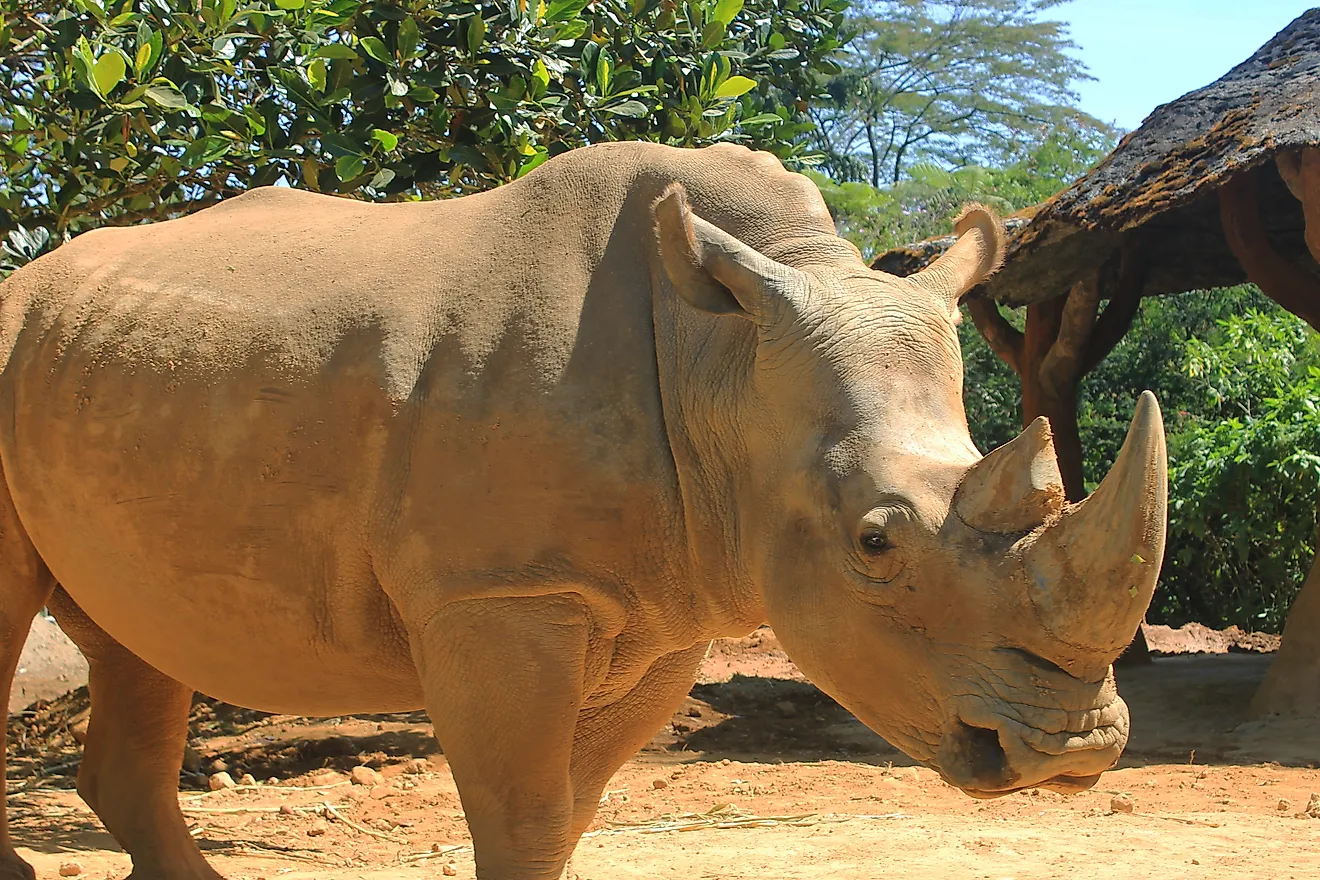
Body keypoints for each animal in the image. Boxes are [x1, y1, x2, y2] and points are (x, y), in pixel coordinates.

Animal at [0, 142, 1165, 880]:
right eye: (875, 542)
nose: (1074, 750)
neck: (723, 364)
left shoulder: (660, 612)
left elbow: (571, 814)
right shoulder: (498, 592)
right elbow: (521, 816)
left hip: (109, 365)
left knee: (139, 634)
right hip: (23, 339)